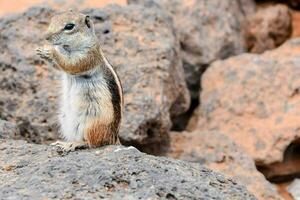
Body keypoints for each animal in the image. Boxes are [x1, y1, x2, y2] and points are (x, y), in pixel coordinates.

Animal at [36, 10, 123, 152]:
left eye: (69, 26)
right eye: (52, 19)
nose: (46, 37)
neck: (68, 48)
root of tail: (113, 138)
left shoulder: (88, 56)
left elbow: (71, 64)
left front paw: (51, 52)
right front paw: (42, 51)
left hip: (91, 125)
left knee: (93, 143)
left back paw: (72, 144)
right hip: (64, 119)